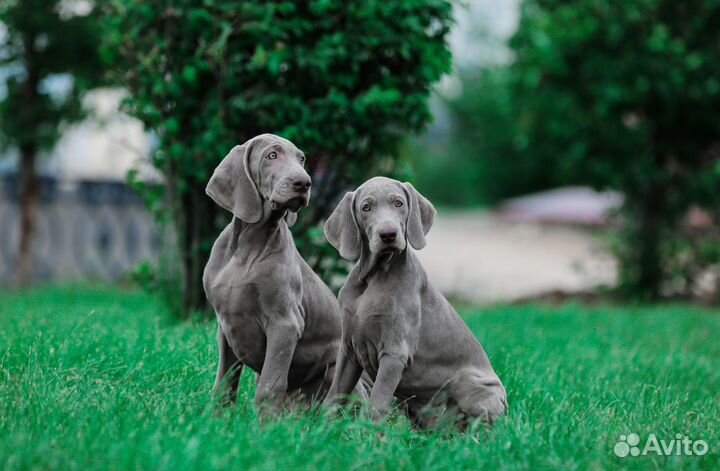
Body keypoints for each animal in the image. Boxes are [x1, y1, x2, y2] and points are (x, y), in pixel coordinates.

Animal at [204, 135, 344, 414]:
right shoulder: (225, 327)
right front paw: (215, 421)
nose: (304, 182)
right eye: (272, 156)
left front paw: (264, 425)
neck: (249, 245)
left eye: (302, 159)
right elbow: (224, 385)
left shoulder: (285, 323)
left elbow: (269, 388)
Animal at [324, 176, 510, 428]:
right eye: (366, 208)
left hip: (471, 383)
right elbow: (335, 392)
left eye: (399, 203)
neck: (375, 275)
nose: (388, 234)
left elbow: (378, 399)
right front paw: (321, 425)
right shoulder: (349, 348)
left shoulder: (395, 352)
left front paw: (367, 432)